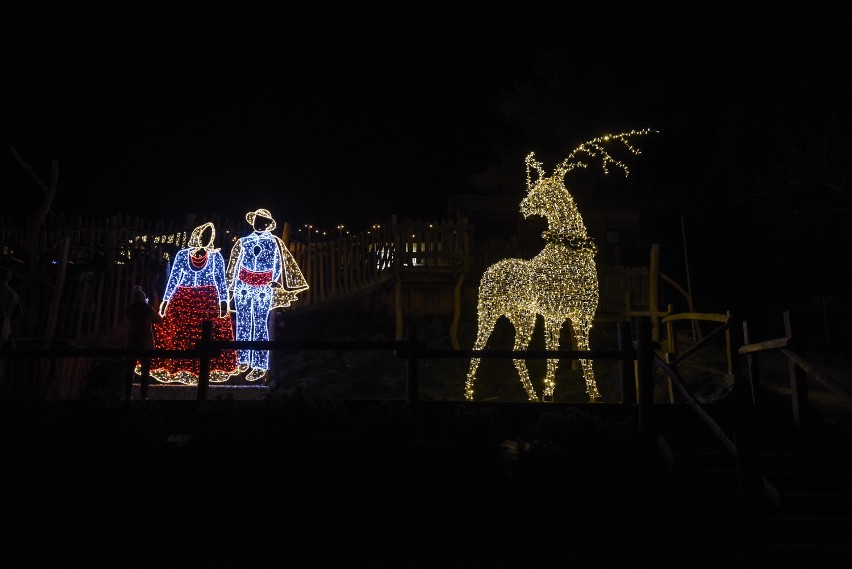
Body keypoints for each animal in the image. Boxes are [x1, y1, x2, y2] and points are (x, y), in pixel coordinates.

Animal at [466, 130, 652, 402]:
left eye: (545, 188)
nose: (523, 206)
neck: (571, 250)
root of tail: (489, 269)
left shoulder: (583, 316)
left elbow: (585, 355)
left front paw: (595, 395)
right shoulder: (553, 314)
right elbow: (553, 353)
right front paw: (549, 394)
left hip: (524, 316)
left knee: (516, 352)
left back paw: (531, 396)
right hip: (488, 312)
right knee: (477, 347)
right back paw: (469, 393)